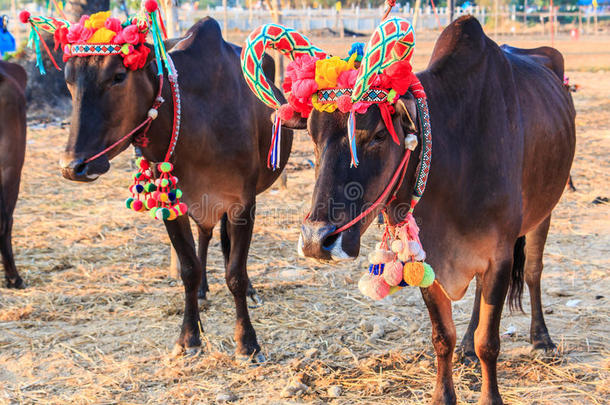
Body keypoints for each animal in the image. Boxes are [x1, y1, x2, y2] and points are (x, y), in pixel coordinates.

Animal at [58, 18, 290, 360]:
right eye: (69, 81)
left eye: (118, 76)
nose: (72, 166)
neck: (198, 122)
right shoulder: (171, 204)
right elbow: (188, 269)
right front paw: (189, 336)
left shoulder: (242, 203)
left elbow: (235, 272)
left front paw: (247, 342)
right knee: (205, 237)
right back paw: (205, 289)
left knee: (224, 244)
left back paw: (247, 291)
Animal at [290, 16, 576, 404]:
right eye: (312, 136)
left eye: (378, 134)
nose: (316, 240)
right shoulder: (429, 258)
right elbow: (443, 337)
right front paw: (445, 390)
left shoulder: (500, 255)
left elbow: (490, 342)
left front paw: (490, 395)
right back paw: (468, 345)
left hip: (543, 213)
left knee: (533, 271)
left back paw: (541, 338)